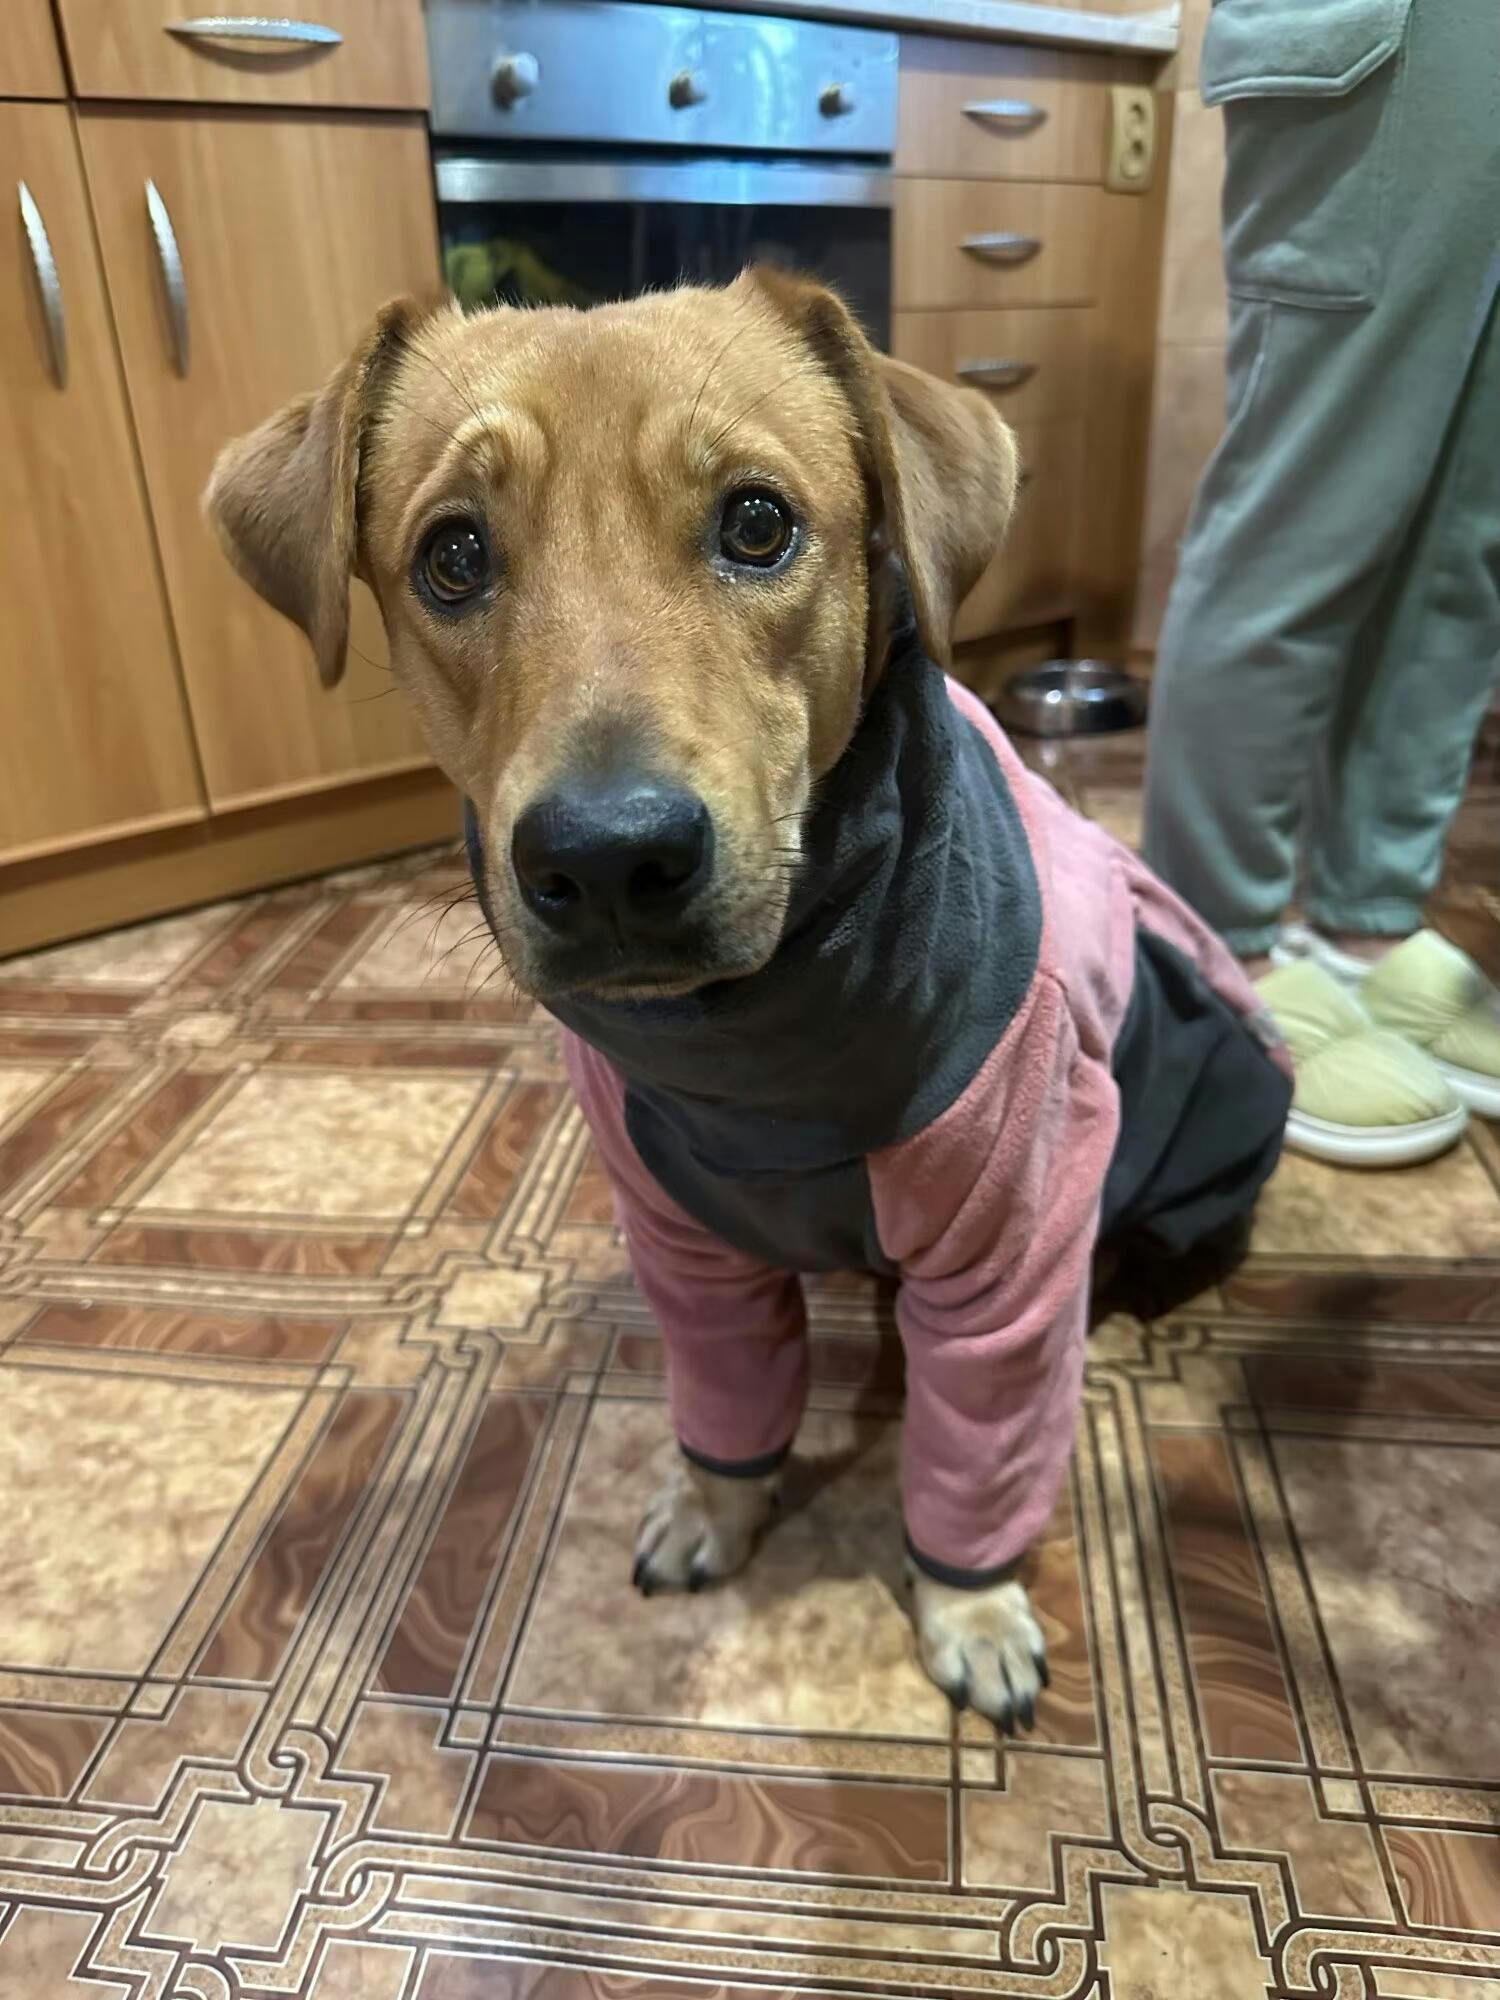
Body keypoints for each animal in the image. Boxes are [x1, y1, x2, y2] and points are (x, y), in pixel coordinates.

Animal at [207, 268, 1291, 1730]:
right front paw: (713, 1515)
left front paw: (973, 1609)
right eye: (453, 555)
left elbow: (977, 1455)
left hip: (1201, 1130)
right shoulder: (686, 1240)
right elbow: (726, 1402)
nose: (611, 859)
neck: (762, 1047)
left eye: (759, 523)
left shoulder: (1008, 1259)